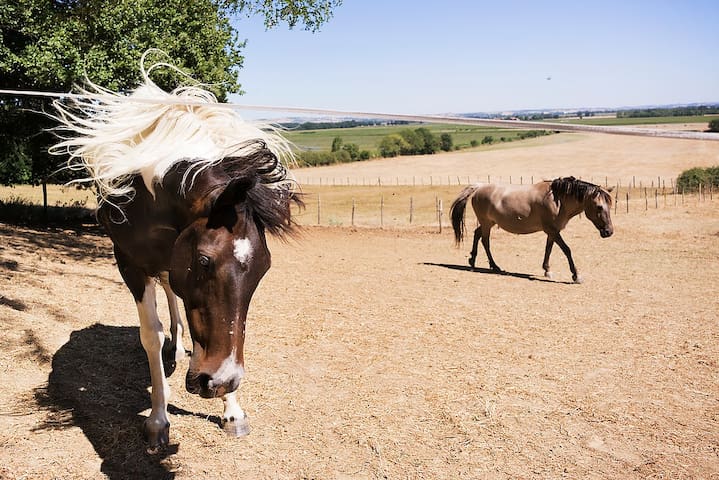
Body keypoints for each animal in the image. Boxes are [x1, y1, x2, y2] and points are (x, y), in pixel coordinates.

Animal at [50, 63, 298, 450]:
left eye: (264, 269)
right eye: (205, 261)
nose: (222, 380)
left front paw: (232, 410)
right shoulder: (130, 265)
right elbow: (151, 334)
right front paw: (158, 420)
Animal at [450, 175, 612, 282]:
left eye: (610, 206)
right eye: (599, 206)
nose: (609, 232)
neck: (557, 200)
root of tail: (479, 187)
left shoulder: (552, 232)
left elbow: (548, 249)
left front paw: (547, 270)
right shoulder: (553, 231)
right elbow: (567, 250)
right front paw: (576, 275)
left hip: (488, 223)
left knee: (477, 235)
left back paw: (473, 261)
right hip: (486, 223)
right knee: (485, 241)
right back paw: (494, 266)